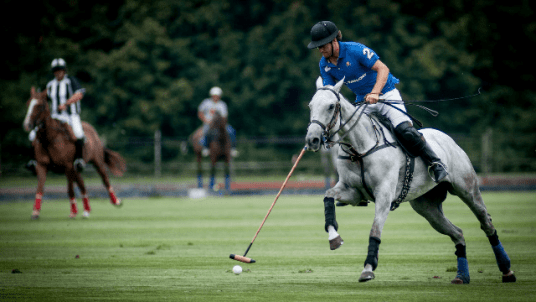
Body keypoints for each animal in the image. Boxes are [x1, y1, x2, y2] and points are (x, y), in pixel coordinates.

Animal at [22, 87, 125, 219]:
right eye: (28, 103)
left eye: (39, 106)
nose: (27, 124)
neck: (50, 139)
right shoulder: (42, 165)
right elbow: (39, 188)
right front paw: (35, 212)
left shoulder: (67, 165)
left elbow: (69, 189)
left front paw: (73, 211)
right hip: (76, 168)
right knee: (82, 185)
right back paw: (86, 210)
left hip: (96, 161)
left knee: (104, 179)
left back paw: (116, 201)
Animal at [306, 76, 516, 284]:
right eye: (310, 105)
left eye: (331, 106)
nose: (312, 140)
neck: (359, 148)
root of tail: (448, 139)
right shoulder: (353, 191)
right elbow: (328, 196)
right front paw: (334, 238)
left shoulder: (384, 194)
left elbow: (375, 230)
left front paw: (368, 268)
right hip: (426, 207)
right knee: (457, 233)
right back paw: (461, 276)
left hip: (467, 189)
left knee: (486, 222)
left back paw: (507, 271)